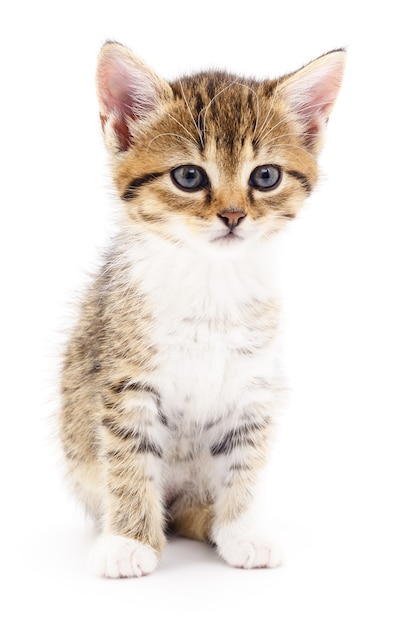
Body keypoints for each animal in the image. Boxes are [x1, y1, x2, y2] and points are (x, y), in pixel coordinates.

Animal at [59, 42, 344, 576]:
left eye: (265, 176)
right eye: (189, 176)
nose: (233, 215)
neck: (211, 281)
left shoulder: (252, 386)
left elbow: (244, 460)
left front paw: (240, 530)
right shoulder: (125, 381)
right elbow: (128, 458)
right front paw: (130, 541)